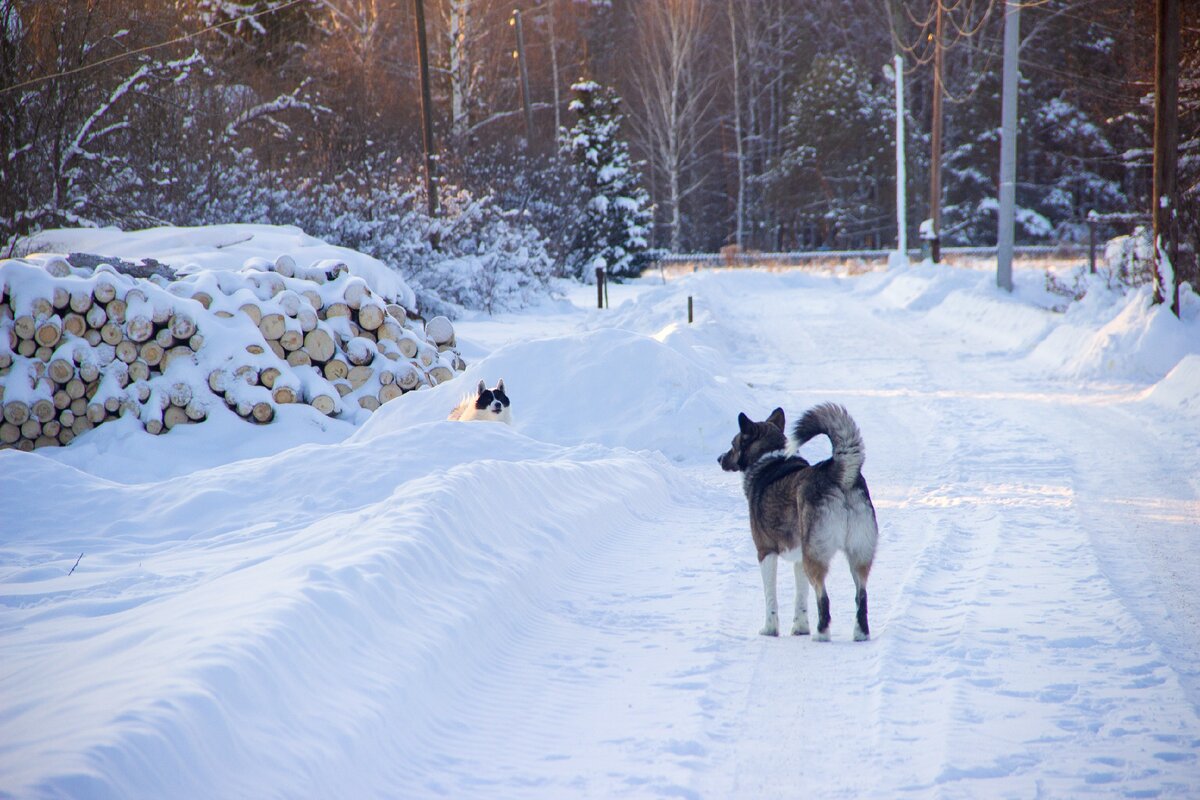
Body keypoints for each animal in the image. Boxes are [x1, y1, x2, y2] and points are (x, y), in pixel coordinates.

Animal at [715, 402, 878, 642]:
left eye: (733, 444)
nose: (719, 459)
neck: (769, 458)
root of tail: (841, 473)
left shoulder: (765, 552)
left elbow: (770, 597)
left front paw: (770, 629)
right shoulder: (800, 559)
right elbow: (801, 598)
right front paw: (800, 628)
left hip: (816, 555)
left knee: (823, 597)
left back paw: (821, 635)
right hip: (857, 554)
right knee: (861, 596)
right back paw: (860, 634)